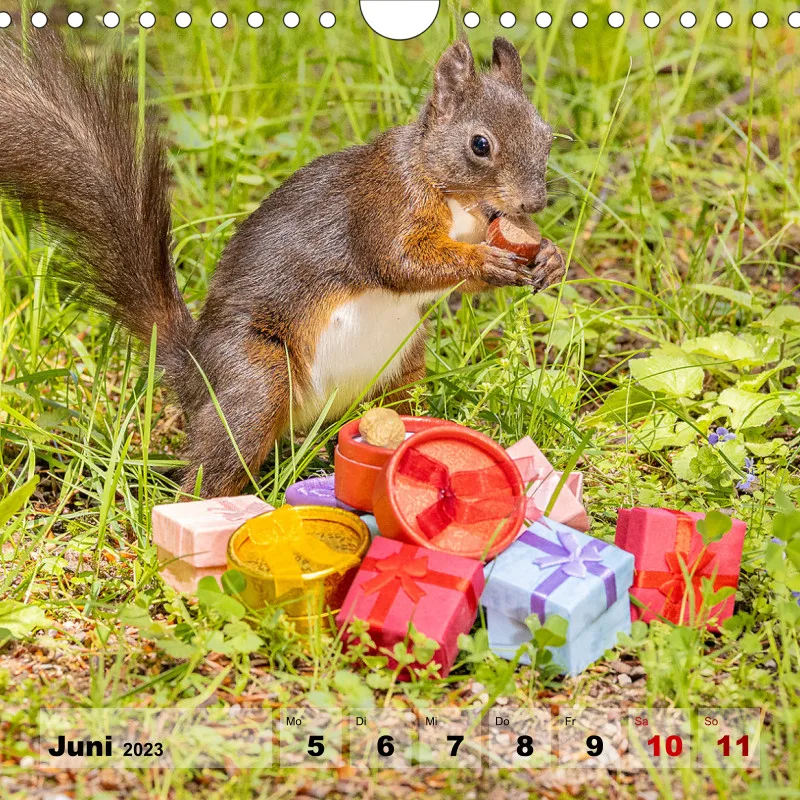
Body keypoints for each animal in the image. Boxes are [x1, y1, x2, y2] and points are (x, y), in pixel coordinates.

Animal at [0, 31, 566, 498]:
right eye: (480, 144)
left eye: (545, 135)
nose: (535, 203)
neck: (460, 203)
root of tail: (195, 371)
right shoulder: (386, 204)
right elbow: (401, 262)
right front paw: (487, 260)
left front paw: (551, 257)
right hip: (257, 377)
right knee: (215, 464)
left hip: (402, 370)